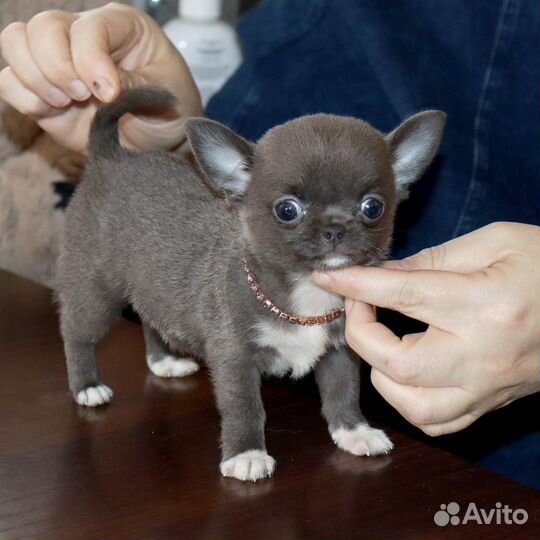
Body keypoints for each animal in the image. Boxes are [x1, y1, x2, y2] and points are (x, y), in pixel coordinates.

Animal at [57, 86, 446, 484]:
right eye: (287, 210)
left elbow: (343, 391)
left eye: (372, 207)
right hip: (96, 292)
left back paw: (164, 361)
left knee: (151, 320)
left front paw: (353, 431)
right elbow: (244, 407)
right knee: (77, 334)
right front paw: (246, 454)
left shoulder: (339, 351)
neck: (305, 294)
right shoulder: (235, 359)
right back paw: (86, 386)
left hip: (150, 285)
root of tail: (110, 158)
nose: (335, 229)